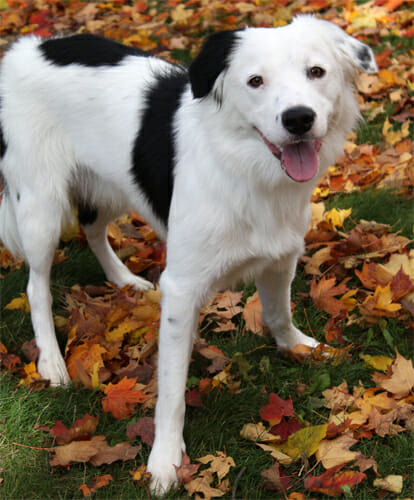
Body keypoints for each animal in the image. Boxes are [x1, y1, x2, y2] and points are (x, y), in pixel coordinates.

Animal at [0, 15, 376, 492]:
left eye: (316, 72)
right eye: (255, 81)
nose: (298, 119)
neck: (245, 168)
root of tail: (23, 48)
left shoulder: (281, 254)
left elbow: (278, 312)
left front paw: (296, 345)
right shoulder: (181, 288)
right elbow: (172, 390)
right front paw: (164, 460)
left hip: (112, 185)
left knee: (92, 228)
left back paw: (124, 279)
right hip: (40, 205)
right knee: (37, 285)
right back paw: (50, 359)